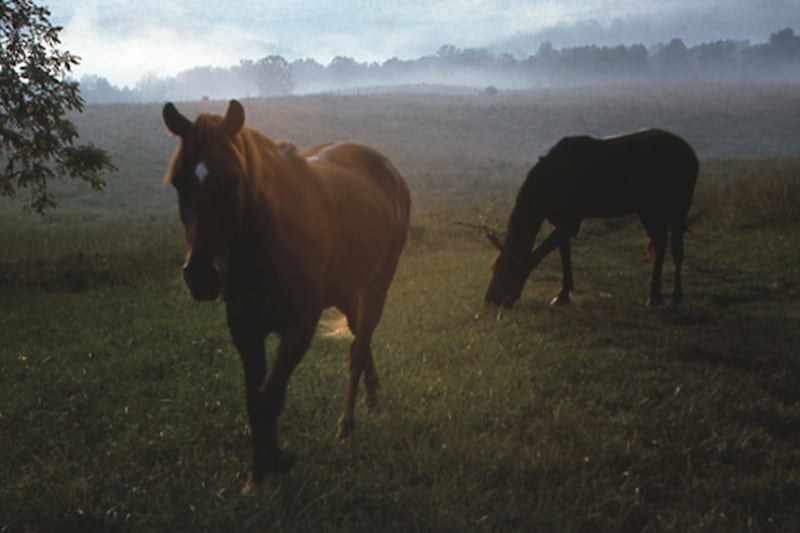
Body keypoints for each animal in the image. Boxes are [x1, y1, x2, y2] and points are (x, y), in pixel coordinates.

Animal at [162, 98, 412, 482]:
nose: (201, 276)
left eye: (234, 180)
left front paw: (275, 462)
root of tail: (388, 169)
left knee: (358, 347)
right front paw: (259, 470)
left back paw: (347, 422)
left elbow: (271, 395)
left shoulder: (300, 326)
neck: (268, 241)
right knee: (360, 335)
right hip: (344, 290)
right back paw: (371, 393)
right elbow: (255, 398)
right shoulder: (245, 329)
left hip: (378, 282)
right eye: (179, 181)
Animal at [484, 129, 696, 310]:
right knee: (661, 242)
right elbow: (564, 253)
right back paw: (656, 294)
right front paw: (563, 294)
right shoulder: (562, 222)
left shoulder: (570, 222)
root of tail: (690, 153)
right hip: (648, 210)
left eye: (506, 272)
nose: (490, 299)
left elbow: (546, 250)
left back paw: (672, 295)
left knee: (675, 248)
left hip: (674, 209)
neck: (550, 179)